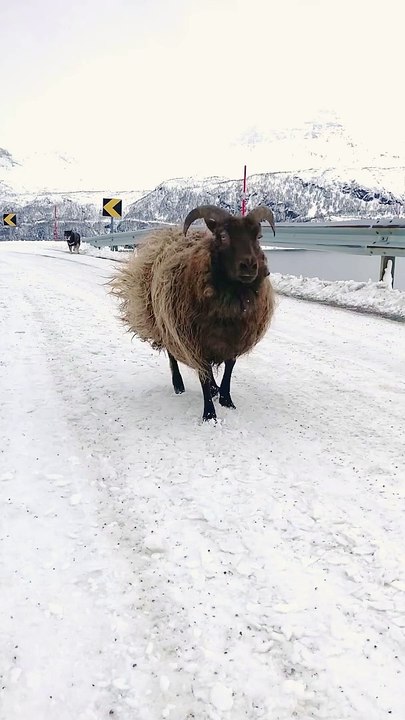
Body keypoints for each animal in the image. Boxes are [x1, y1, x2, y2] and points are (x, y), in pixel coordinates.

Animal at [110, 204, 276, 422]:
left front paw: (226, 400)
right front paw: (209, 414)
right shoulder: (192, 340)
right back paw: (179, 385)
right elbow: (203, 374)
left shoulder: (234, 340)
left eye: (258, 236)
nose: (249, 265)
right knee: (172, 356)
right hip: (165, 324)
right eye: (223, 236)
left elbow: (228, 370)